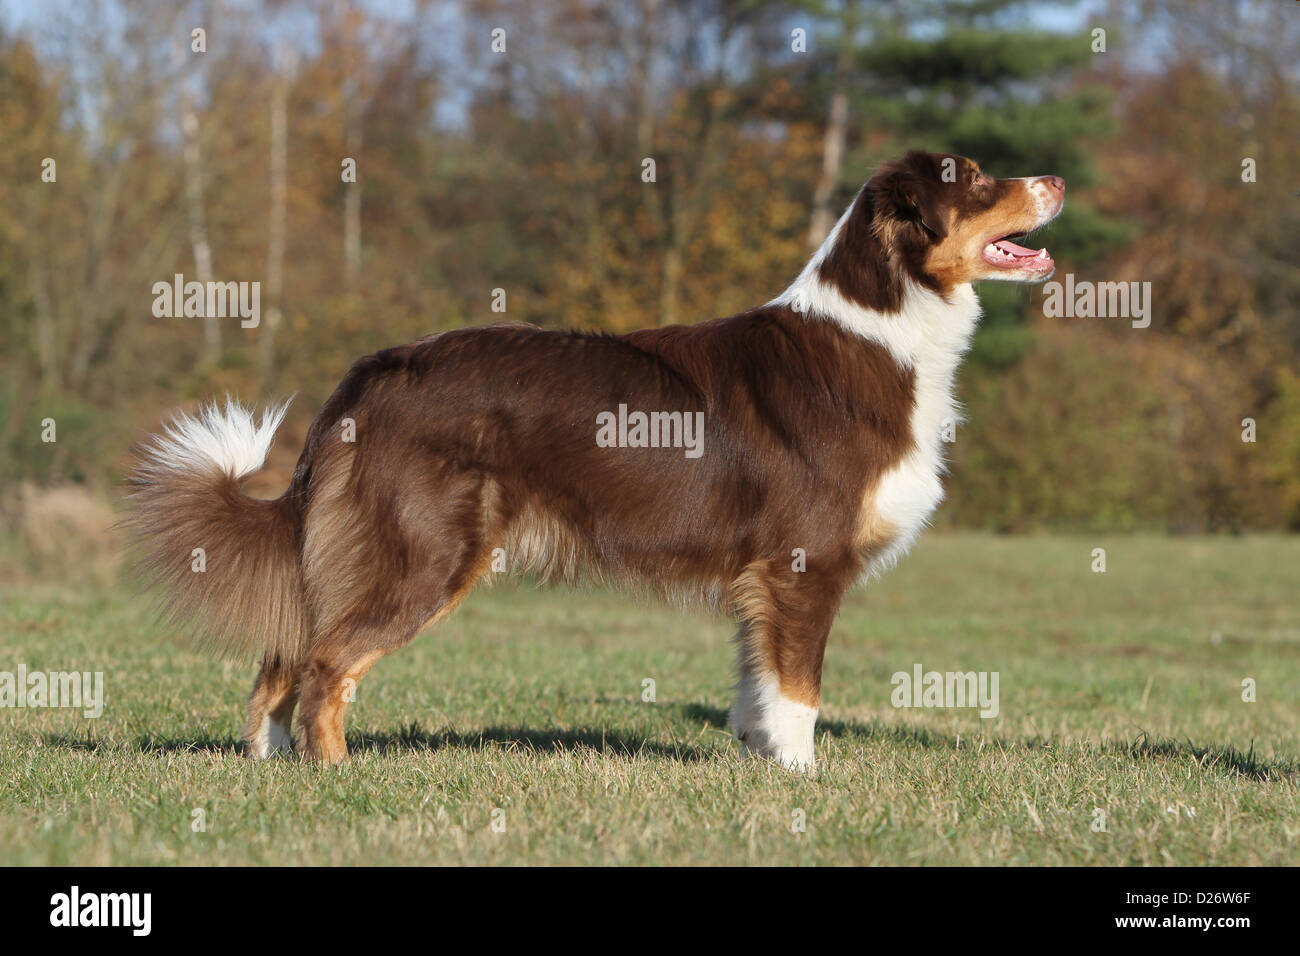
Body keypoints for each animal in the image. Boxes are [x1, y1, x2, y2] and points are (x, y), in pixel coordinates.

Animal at [126, 151, 1066, 780]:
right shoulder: (805, 567)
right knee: (326, 665)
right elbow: (799, 692)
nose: (1057, 181)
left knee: (281, 659)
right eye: (974, 180)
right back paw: (336, 777)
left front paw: (760, 763)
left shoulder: (760, 577)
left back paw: (272, 770)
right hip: (427, 556)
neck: (885, 324)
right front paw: (803, 783)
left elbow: (756, 688)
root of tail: (374, 370)